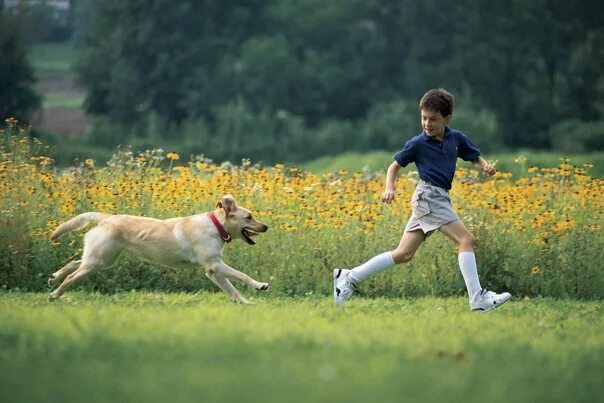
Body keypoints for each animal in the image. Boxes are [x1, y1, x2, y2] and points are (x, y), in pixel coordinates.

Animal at [48, 195, 270, 304]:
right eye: (249, 217)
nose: (266, 227)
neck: (216, 225)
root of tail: (106, 217)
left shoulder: (212, 270)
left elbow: (231, 289)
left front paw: (244, 303)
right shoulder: (215, 265)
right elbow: (242, 276)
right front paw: (260, 285)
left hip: (103, 259)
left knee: (75, 262)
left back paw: (54, 276)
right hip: (98, 260)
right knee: (72, 276)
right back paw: (54, 294)